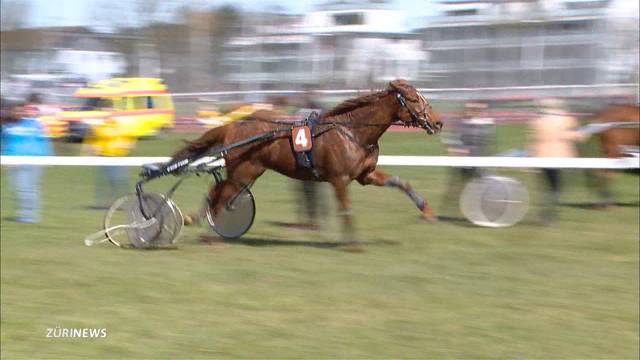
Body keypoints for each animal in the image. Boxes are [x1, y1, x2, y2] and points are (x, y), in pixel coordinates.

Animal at [170, 80, 442, 245]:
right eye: (414, 99)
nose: (438, 122)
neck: (352, 131)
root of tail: (232, 125)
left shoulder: (365, 175)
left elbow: (400, 182)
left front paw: (426, 210)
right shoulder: (339, 179)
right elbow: (345, 207)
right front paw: (352, 243)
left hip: (246, 173)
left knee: (217, 193)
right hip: (243, 172)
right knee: (217, 196)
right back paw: (207, 230)